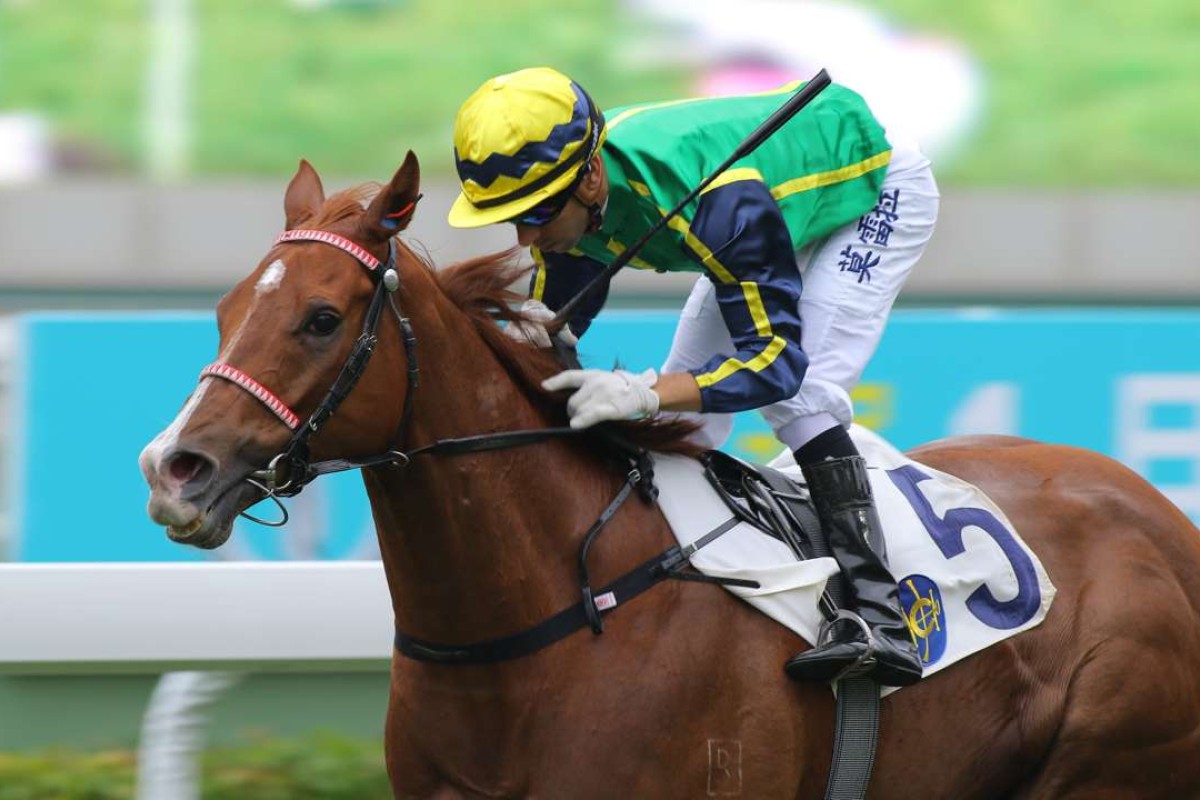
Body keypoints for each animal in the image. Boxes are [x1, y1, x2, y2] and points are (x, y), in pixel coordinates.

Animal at [136, 155, 1200, 800]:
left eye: (320, 318)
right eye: (226, 309)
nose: (175, 467)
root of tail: (1162, 518)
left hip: (1108, 764)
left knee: (810, 397)